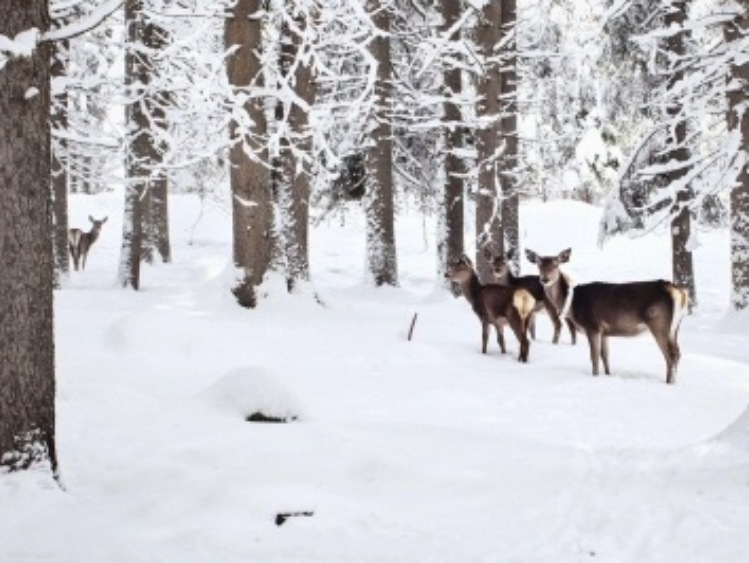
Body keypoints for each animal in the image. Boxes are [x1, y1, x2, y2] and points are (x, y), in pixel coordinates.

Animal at [524, 249, 688, 386]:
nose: (544, 279)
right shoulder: (605, 331)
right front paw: (608, 375)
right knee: (677, 352)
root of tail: (678, 291)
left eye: (556, 264)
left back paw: (668, 383)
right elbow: (605, 356)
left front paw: (595, 376)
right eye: (539, 264)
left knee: (671, 355)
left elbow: (594, 357)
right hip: (675, 327)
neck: (572, 303)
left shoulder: (593, 326)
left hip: (659, 323)